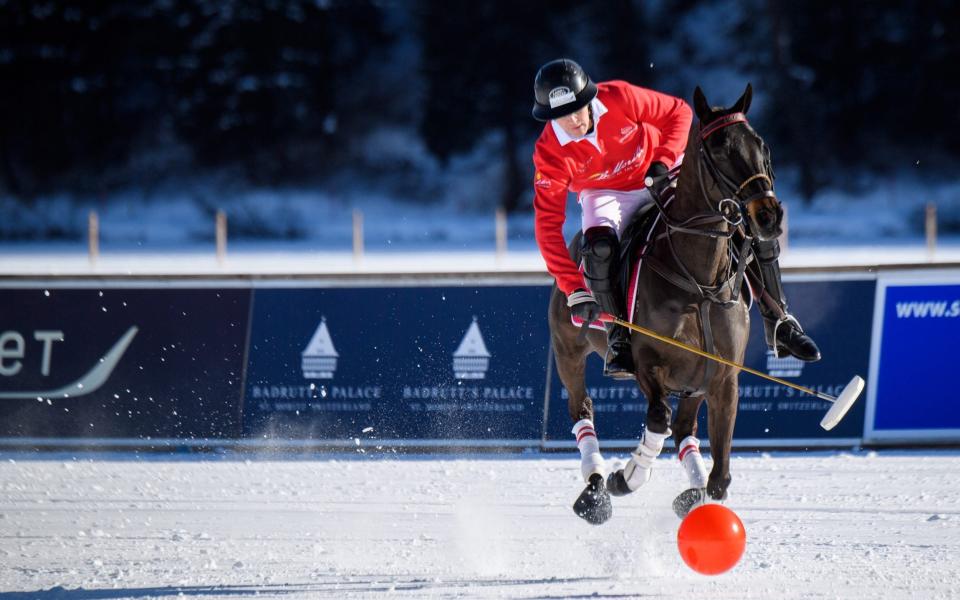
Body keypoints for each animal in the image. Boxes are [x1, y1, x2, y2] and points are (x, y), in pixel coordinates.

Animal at [552, 84, 784, 524]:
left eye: (762, 144)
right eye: (719, 149)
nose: (768, 216)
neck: (700, 279)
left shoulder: (723, 378)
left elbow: (720, 477)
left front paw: (695, 496)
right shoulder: (648, 365)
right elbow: (657, 421)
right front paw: (624, 478)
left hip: (695, 381)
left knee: (684, 431)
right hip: (567, 348)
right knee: (582, 410)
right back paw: (595, 490)